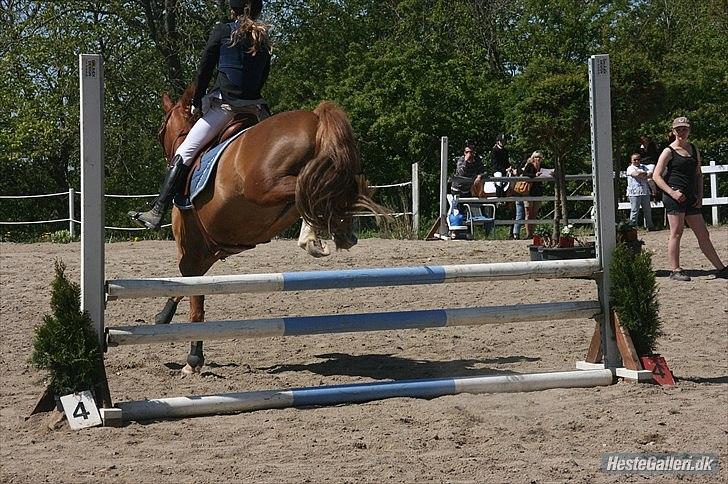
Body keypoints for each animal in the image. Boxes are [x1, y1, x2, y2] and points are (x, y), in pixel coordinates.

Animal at [154, 87, 382, 374]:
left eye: (161, 131)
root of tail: (316, 118)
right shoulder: (209, 251)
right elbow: (185, 283)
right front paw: (164, 317)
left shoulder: (192, 247)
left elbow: (193, 292)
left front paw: (192, 359)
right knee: (331, 188)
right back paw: (335, 230)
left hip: (264, 187)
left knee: (308, 187)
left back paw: (312, 235)